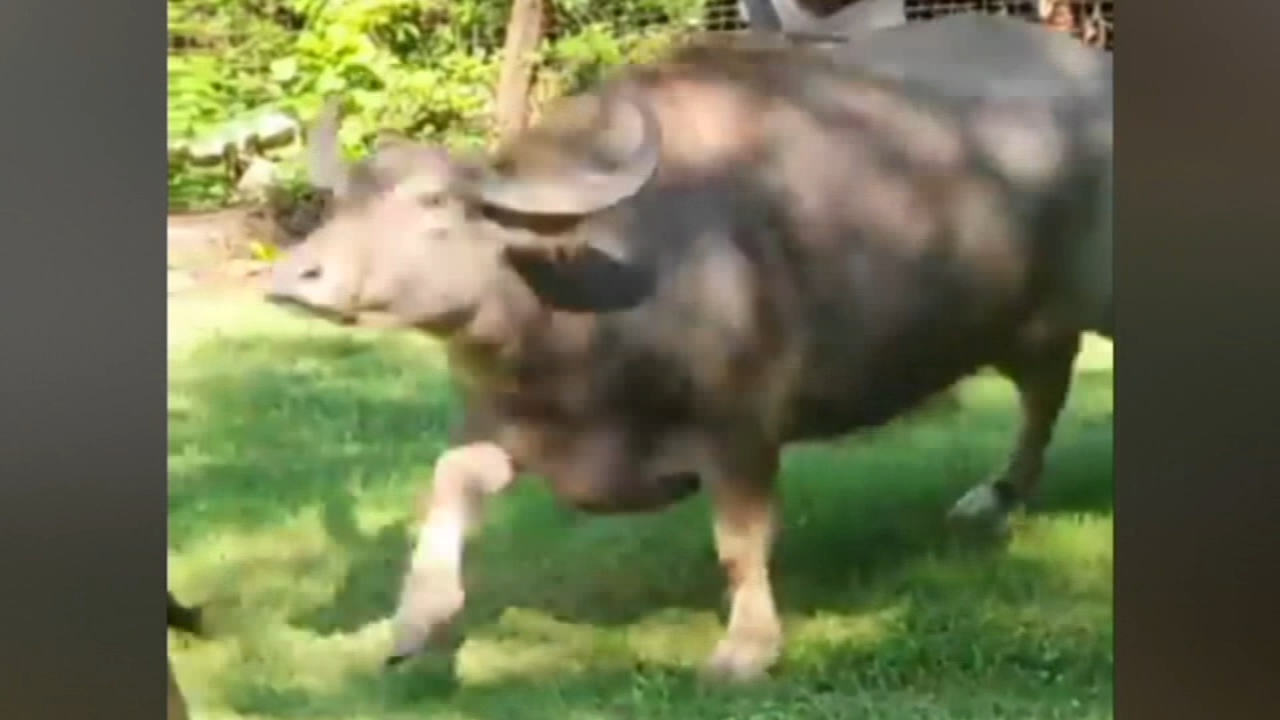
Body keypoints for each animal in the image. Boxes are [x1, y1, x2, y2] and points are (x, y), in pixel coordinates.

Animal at [266, 15, 1111, 681]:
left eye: (436, 203)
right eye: (341, 202)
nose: (295, 275)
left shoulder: (740, 424)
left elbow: (739, 538)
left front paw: (747, 650)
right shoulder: (502, 420)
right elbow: (448, 488)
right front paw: (416, 619)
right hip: (1025, 322)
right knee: (1046, 388)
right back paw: (997, 496)